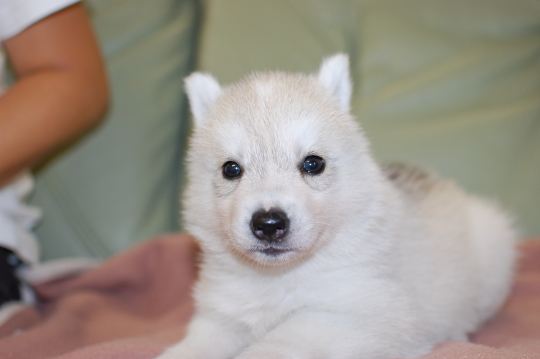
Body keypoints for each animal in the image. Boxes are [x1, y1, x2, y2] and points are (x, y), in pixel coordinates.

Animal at [155, 54, 516, 359]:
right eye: (231, 170)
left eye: (313, 164)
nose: (269, 223)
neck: (277, 279)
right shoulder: (221, 316)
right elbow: (195, 345)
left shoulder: (357, 312)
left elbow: (281, 340)